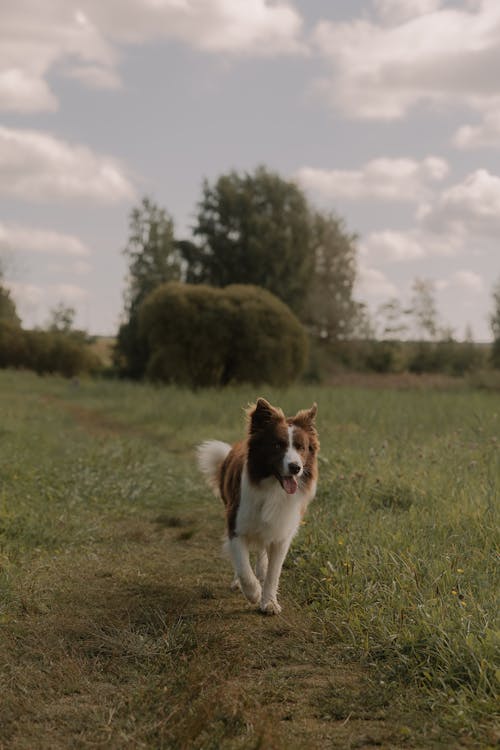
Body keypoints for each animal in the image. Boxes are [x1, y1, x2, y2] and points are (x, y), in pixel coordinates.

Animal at [197, 400, 318, 616]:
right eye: (277, 445)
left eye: (301, 447)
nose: (295, 467)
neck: (273, 488)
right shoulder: (236, 526)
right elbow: (243, 566)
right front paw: (253, 592)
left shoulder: (282, 533)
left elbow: (273, 573)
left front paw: (269, 602)